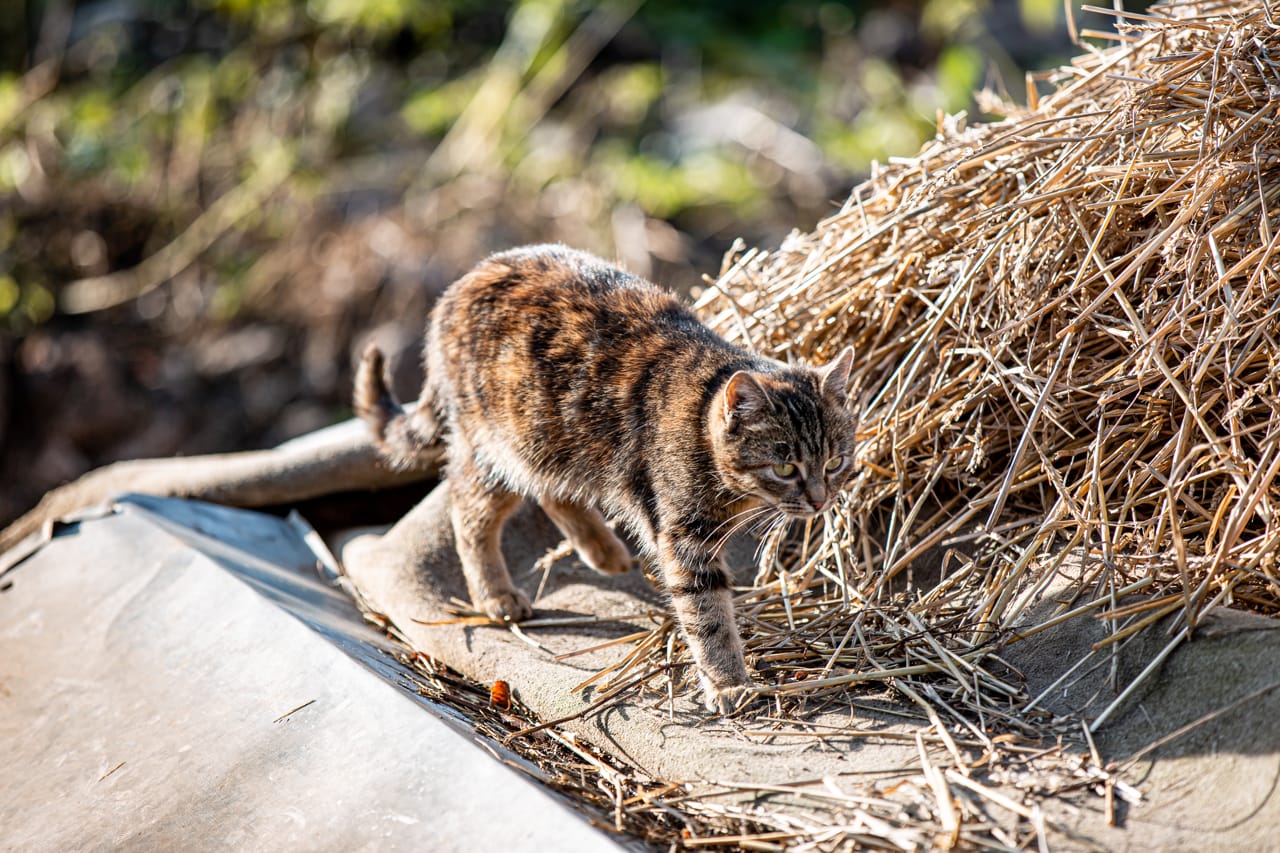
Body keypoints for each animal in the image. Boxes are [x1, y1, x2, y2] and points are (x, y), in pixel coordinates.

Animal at [355, 244, 855, 712]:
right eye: (785, 468)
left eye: (835, 462)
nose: (820, 500)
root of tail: (460, 285)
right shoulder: (685, 540)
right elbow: (707, 617)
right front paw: (729, 682)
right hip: (499, 448)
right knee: (470, 512)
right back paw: (495, 594)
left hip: (551, 441)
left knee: (554, 492)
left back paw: (604, 552)